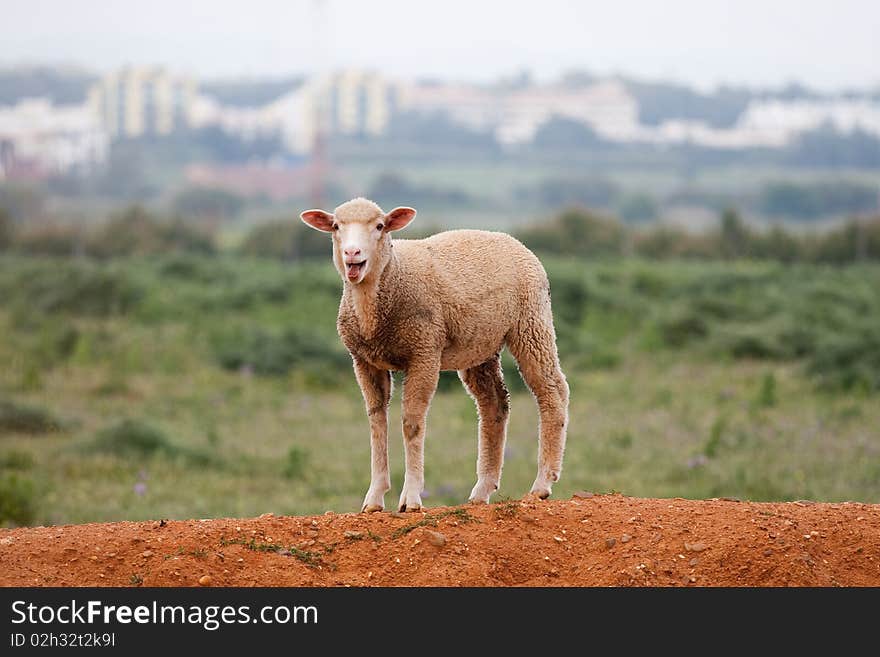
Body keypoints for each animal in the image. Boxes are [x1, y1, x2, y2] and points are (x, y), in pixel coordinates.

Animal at [300, 196, 568, 512]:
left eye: (379, 226)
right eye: (336, 226)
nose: (352, 253)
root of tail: (511, 239)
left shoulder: (424, 352)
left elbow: (412, 423)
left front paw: (411, 497)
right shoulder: (364, 361)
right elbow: (377, 423)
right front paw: (374, 498)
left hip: (531, 322)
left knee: (552, 391)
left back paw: (542, 484)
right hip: (480, 346)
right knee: (495, 403)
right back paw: (482, 490)